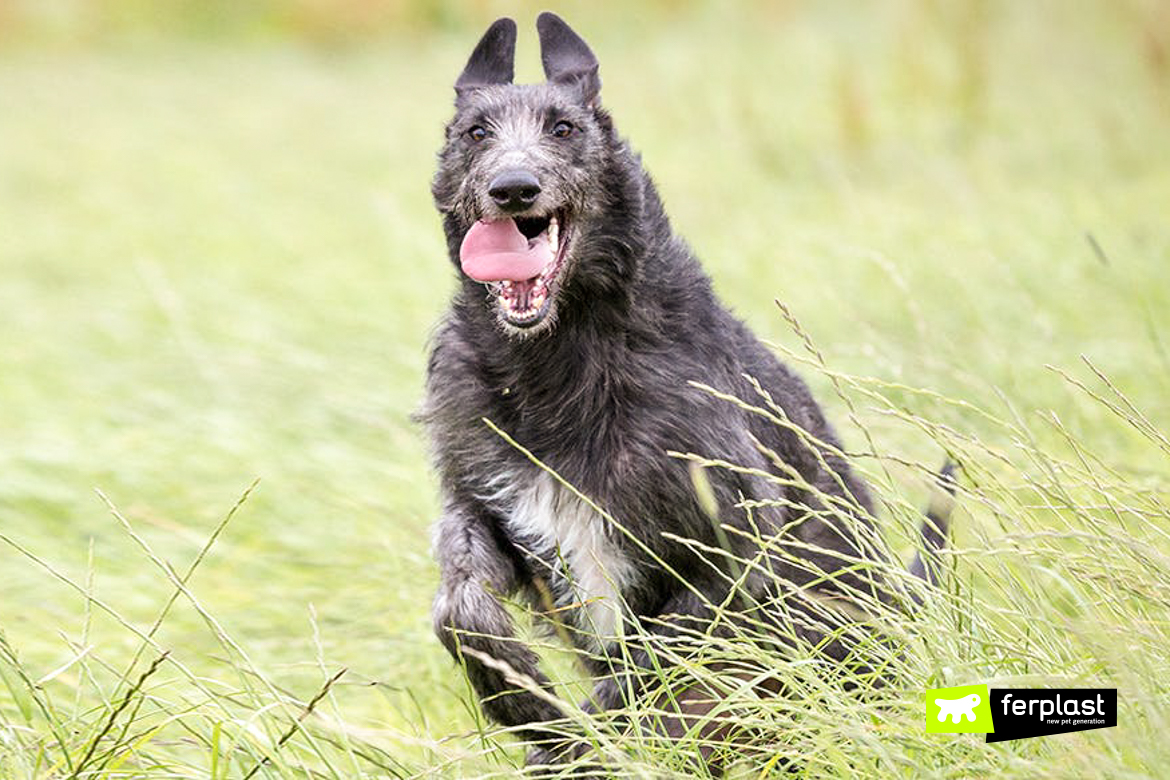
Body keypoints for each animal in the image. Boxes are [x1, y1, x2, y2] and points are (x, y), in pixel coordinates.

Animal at [421, 13, 950, 776]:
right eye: (475, 132)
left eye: (564, 128)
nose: (513, 189)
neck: (564, 351)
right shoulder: (483, 499)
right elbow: (461, 605)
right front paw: (522, 699)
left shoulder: (734, 544)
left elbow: (647, 664)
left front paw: (582, 736)